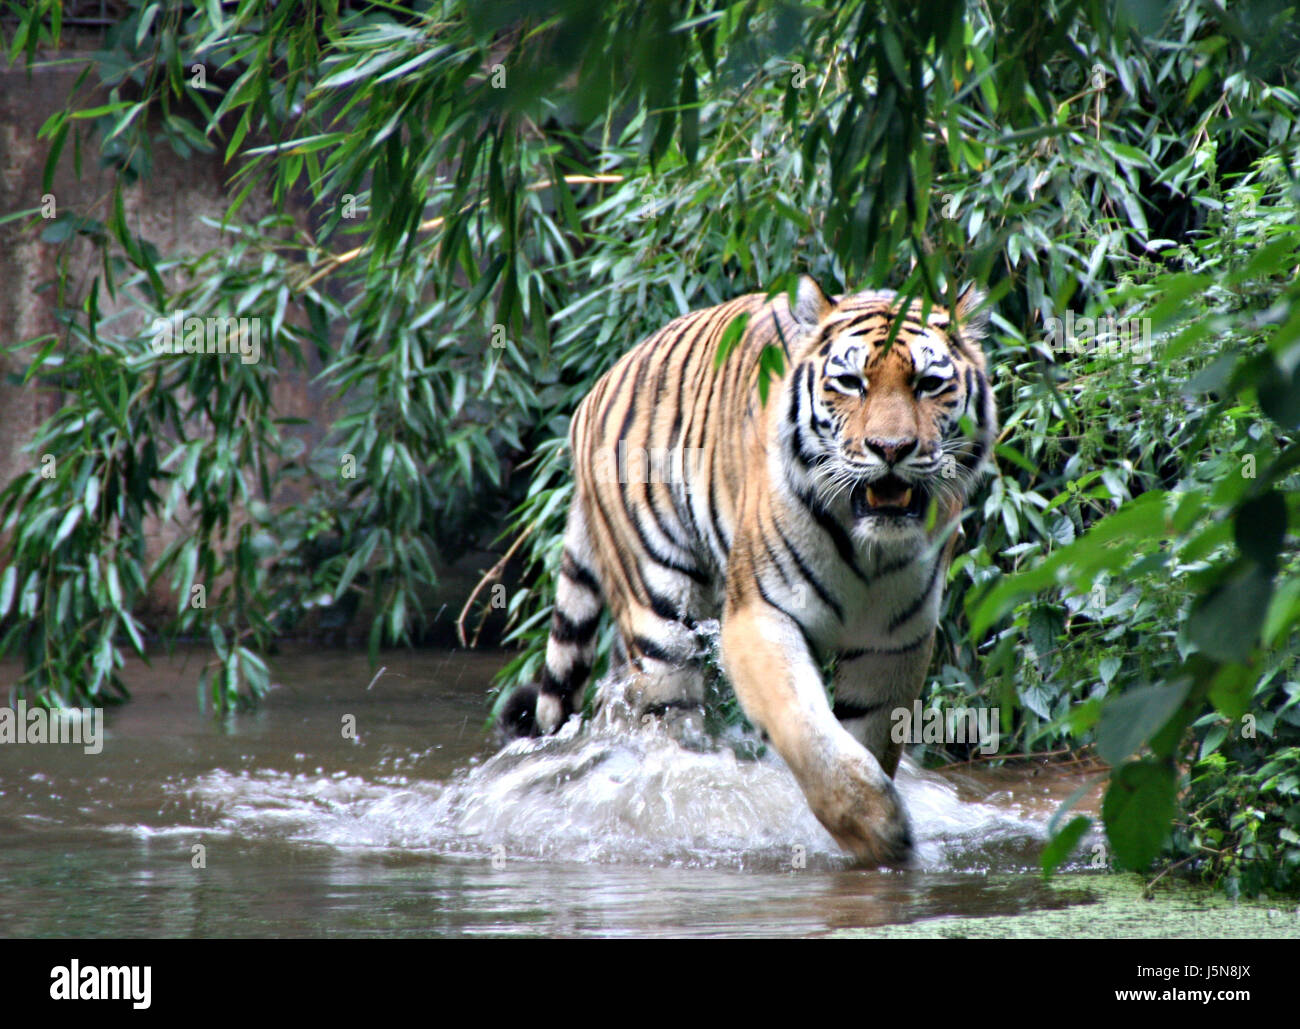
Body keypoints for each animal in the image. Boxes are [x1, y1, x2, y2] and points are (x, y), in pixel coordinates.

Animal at [496, 271, 993, 862]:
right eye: (851, 383)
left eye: (928, 383)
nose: (890, 448)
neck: (869, 546)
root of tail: (600, 385)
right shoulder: (759, 618)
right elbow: (807, 729)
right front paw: (878, 826)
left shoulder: (894, 640)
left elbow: (867, 735)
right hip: (661, 618)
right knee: (667, 734)